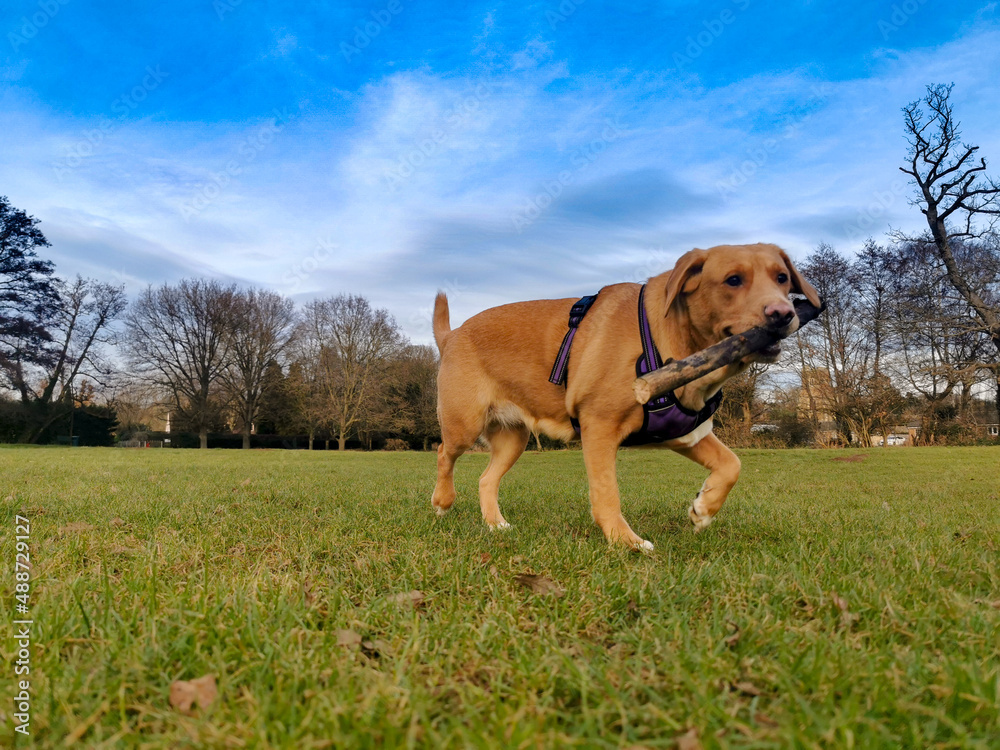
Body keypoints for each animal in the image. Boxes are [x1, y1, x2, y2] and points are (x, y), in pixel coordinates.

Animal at [430, 244, 820, 548]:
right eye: (733, 280)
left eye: (782, 278)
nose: (783, 314)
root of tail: (453, 334)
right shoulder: (599, 428)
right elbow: (607, 493)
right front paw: (624, 540)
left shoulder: (687, 434)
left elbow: (732, 465)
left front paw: (703, 510)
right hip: (464, 424)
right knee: (443, 453)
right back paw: (443, 501)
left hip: (514, 439)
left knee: (486, 479)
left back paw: (495, 523)